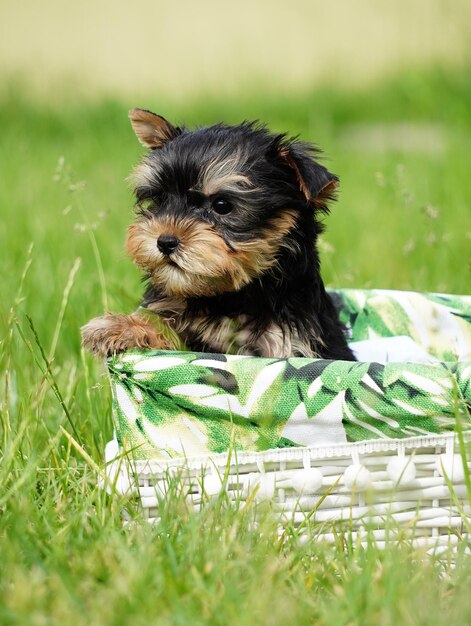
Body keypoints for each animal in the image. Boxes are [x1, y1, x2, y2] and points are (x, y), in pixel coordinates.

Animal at [82, 109, 354, 358]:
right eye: (160, 199)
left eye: (222, 205)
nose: (165, 241)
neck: (227, 298)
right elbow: (165, 325)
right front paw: (120, 326)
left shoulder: (288, 342)